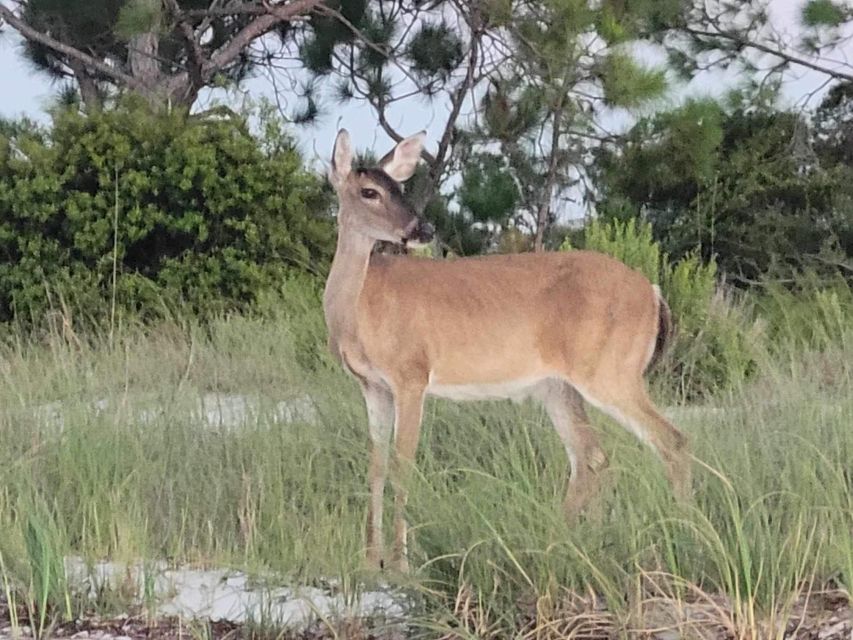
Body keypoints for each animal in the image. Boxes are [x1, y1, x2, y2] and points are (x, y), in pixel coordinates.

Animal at [322, 127, 688, 572]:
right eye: (371, 191)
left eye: (400, 187)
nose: (423, 229)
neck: (358, 310)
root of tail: (653, 291)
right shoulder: (372, 385)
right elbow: (375, 467)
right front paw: (369, 561)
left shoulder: (412, 374)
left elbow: (401, 466)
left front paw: (400, 564)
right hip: (559, 386)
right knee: (592, 459)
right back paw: (564, 542)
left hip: (611, 370)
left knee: (670, 442)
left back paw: (685, 534)